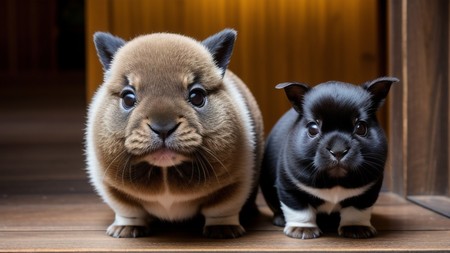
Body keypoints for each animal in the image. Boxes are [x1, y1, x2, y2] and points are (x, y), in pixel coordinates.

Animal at [85, 29, 264, 239]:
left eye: (197, 96)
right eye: (128, 98)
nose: (163, 127)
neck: (165, 172)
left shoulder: (236, 183)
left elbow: (222, 209)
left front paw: (222, 229)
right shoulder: (112, 188)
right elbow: (128, 210)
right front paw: (126, 228)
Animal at [260, 77, 398, 239]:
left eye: (360, 128)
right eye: (313, 129)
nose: (338, 151)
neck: (335, 179)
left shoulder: (367, 192)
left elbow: (357, 210)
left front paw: (355, 227)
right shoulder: (289, 187)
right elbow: (299, 208)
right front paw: (302, 228)